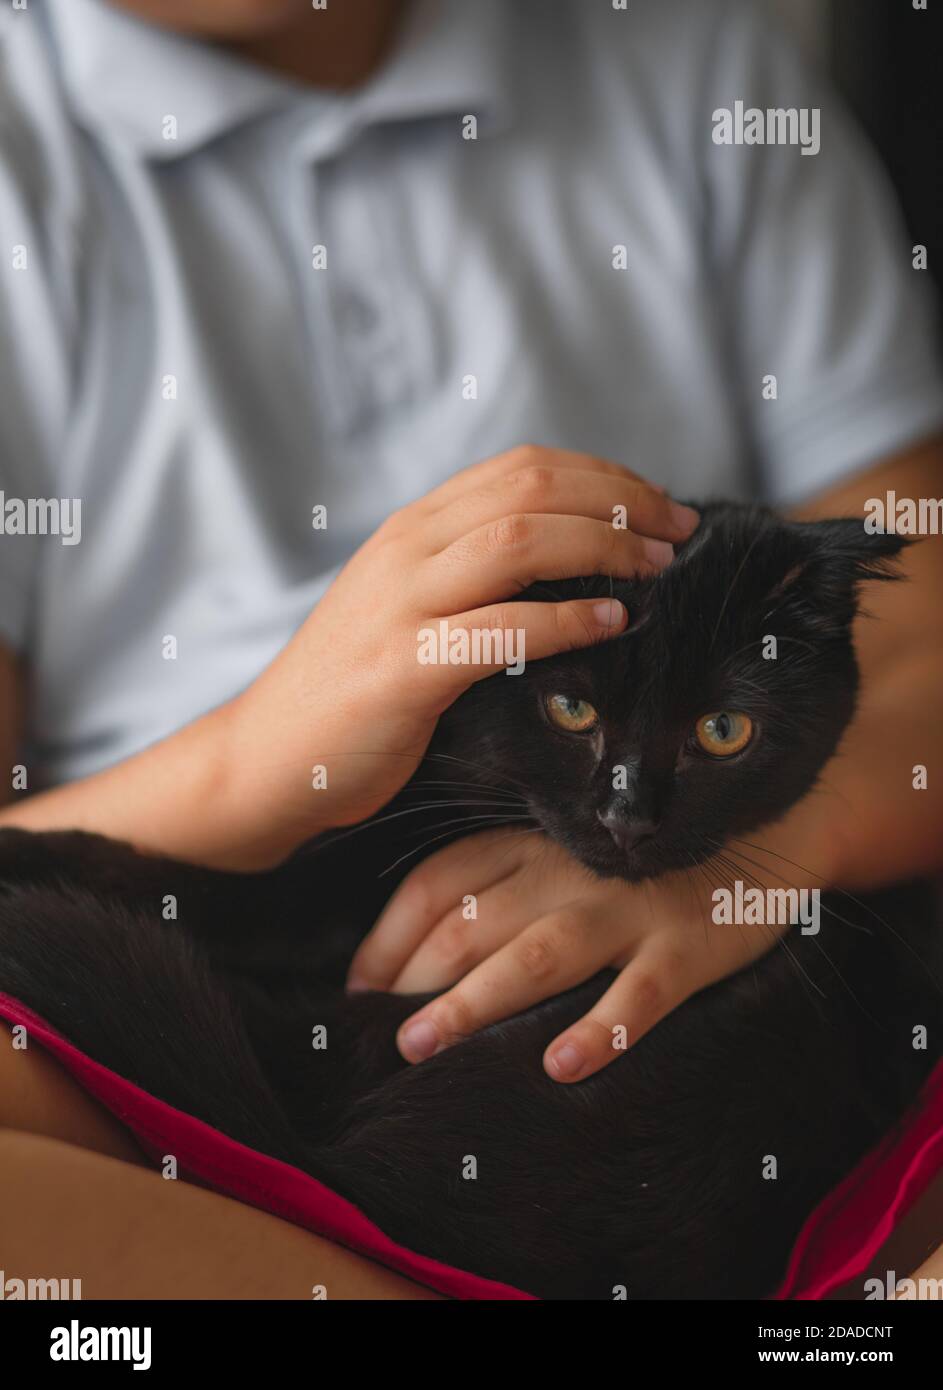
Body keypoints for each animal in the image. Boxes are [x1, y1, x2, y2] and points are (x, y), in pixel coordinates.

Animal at [1, 503, 943, 1301]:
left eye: (722, 732)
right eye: (570, 709)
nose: (626, 819)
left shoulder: (350, 880)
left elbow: (203, 890)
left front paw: (28, 852)